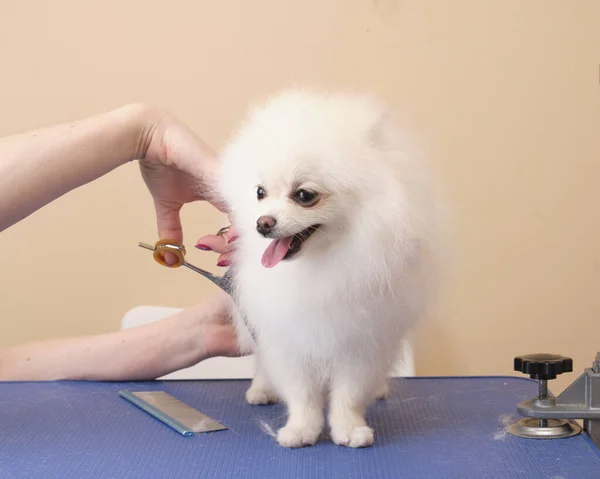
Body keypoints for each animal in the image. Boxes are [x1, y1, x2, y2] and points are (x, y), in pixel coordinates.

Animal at [219, 89, 440, 450]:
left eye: (304, 195)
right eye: (260, 193)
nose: (262, 223)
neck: (321, 265)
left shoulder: (361, 340)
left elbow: (349, 393)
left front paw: (348, 428)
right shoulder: (289, 336)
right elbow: (302, 393)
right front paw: (301, 429)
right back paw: (262, 389)